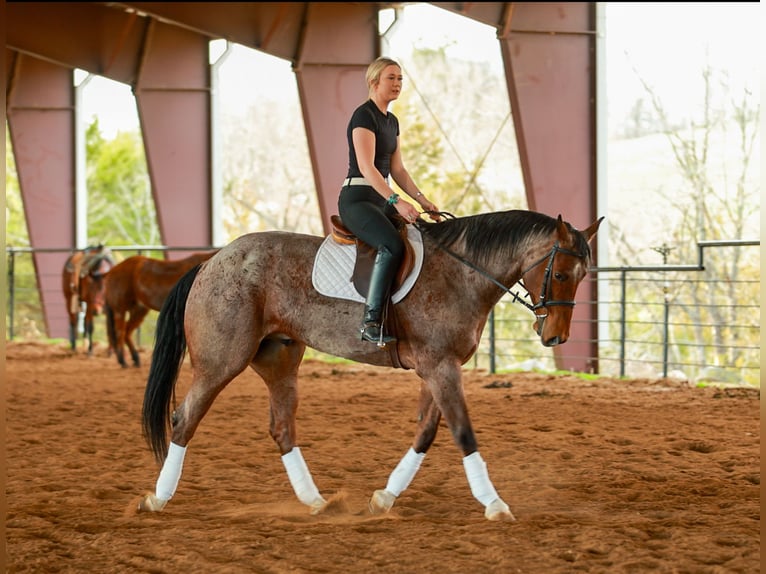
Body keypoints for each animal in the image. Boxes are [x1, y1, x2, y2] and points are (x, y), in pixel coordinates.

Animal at [138, 209, 602, 521]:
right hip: (222, 361)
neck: (460, 274)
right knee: (185, 418)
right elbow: (462, 432)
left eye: (583, 276)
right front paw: (494, 503)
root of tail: (210, 261)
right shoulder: (440, 367)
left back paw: (316, 502)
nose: (555, 337)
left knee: (281, 428)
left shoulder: (439, 368)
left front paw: (385, 497)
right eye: (561, 274)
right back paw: (158, 498)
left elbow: (427, 431)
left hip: (279, 358)